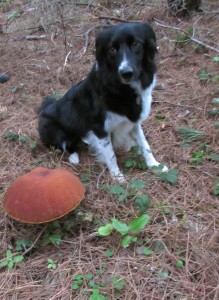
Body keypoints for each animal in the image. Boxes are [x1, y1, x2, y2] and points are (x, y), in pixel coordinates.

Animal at [38, 22, 168, 182]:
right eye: (112, 49)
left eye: (135, 44)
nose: (126, 73)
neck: (122, 90)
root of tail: (44, 109)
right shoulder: (99, 128)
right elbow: (111, 156)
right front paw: (118, 177)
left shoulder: (133, 122)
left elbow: (145, 145)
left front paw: (155, 165)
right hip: (50, 127)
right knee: (65, 146)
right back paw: (74, 157)